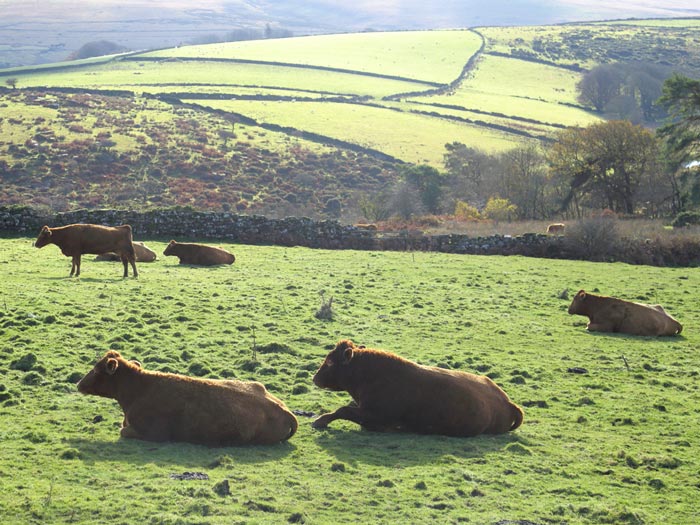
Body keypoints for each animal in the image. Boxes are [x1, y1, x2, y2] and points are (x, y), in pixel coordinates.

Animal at [78, 350, 298, 444]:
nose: (78, 384)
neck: (139, 388)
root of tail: (284, 410)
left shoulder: (153, 434)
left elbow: (123, 431)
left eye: (97, 369)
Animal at [314, 338, 524, 436]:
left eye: (330, 362)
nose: (315, 378)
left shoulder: (376, 417)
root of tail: (508, 403)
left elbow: (343, 410)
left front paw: (320, 421)